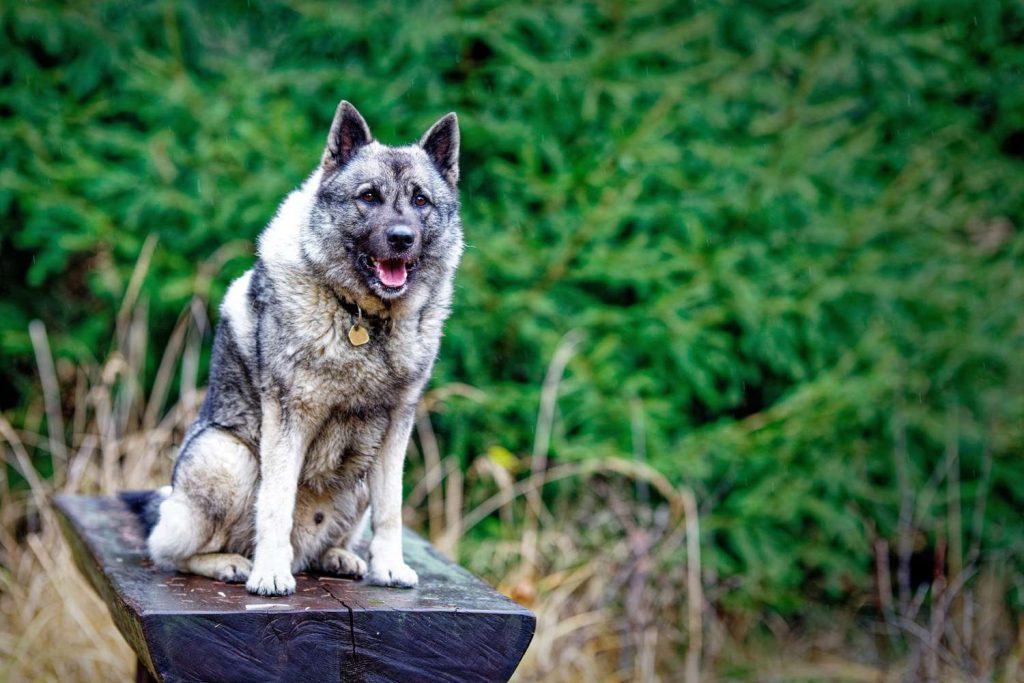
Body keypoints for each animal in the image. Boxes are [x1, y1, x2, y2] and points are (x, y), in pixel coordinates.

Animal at [123, 98, 464, 593]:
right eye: (368, 197)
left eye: (421, 200)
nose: (401, 238)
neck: (362, 318)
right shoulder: (288, 420)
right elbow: (276, 504)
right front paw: (269, 573)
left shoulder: (396, 428)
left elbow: (391, 509)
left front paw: (388, 566)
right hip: (227, 459)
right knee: (167, 551)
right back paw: (232, 563)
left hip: (355, 479)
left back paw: (338, 557)